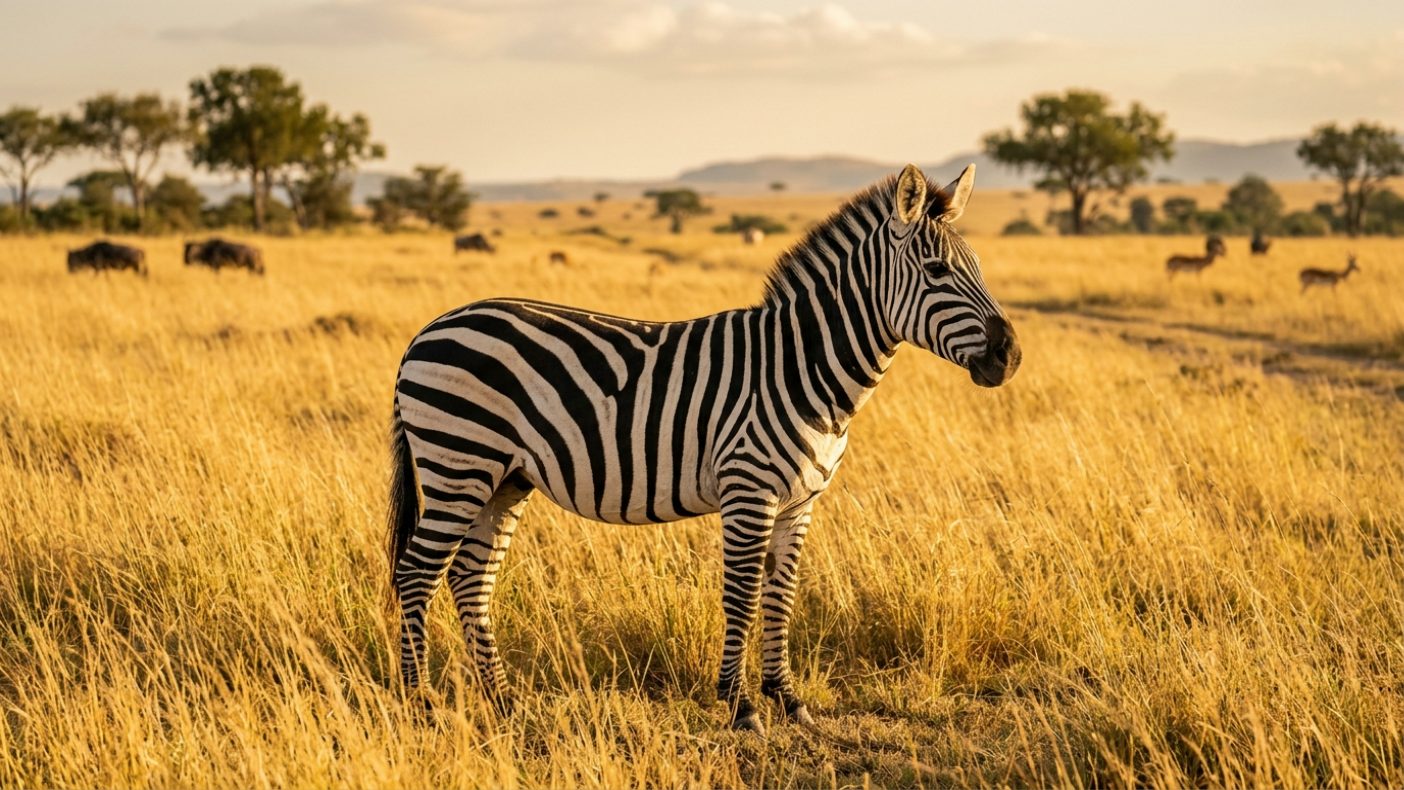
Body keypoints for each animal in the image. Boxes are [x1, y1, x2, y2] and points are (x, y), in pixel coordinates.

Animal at [387, 163, 1021, 732]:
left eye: (979, 267)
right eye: (937, 271)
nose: (1009, 356)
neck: (801, 369)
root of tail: (427, 329)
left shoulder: (801, 503)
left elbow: (781, 595)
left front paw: (788, 700)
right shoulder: (749, 490)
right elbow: (741, 595)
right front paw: (741, 708)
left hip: (504, 478)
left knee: (471, 576)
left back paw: (501, 701)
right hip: (457, 463)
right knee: (417, 572)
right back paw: (421, 705)